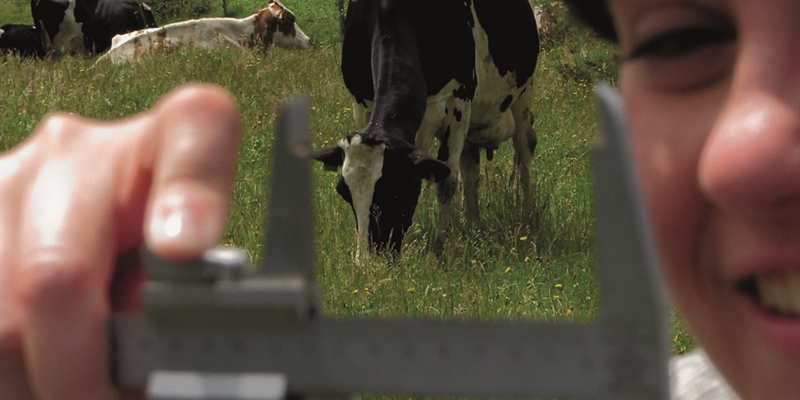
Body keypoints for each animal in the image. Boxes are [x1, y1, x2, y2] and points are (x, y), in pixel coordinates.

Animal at [310, 0, 540, 260]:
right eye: (343, 192)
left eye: (395, 190)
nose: (369, 262)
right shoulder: (362, 104)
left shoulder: (459, 101)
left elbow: (446, 181)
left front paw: (442, 244)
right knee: (470, 168)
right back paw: (471, 222)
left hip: (523, 92)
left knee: (524, 149)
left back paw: (526, 215)